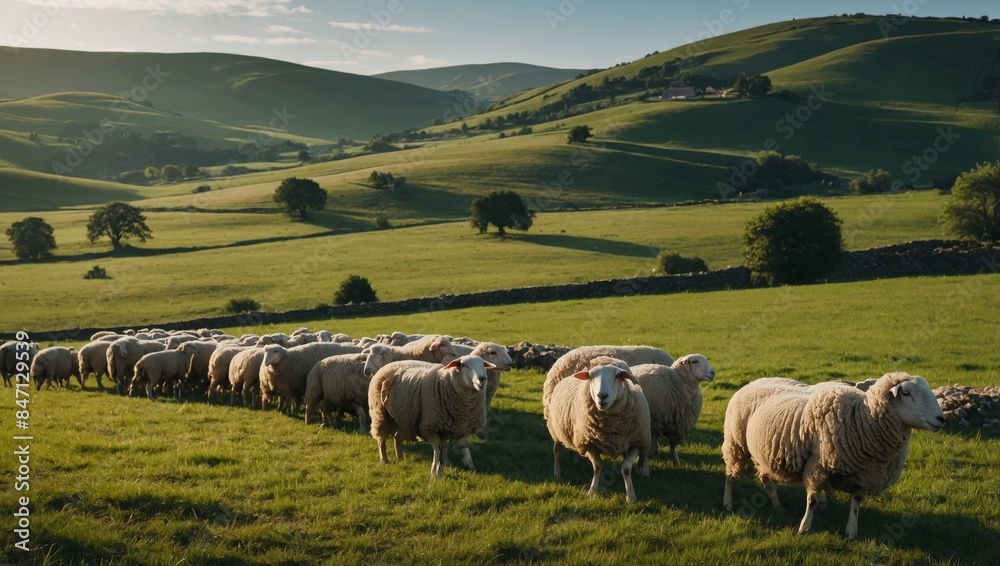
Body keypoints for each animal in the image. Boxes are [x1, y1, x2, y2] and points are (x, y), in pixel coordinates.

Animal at [546, 356, 652, 502]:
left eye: (618, 376)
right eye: (591, 376)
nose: (602, 396)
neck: (612, 427)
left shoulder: (636, 442)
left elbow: (625, 469)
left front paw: (631, 496)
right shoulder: (590, 442)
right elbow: (598, 466)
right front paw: (592, 491)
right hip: (556, 429)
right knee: (557, 450)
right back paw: (557, 473)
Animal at [723, 372, 945, 539]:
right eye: (906, 393)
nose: (941, 419)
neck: (861, 418)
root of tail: (752, 382)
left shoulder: (864, 472)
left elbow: (856, 502)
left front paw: (852, 532)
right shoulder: (818, 466)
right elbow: (812, 499)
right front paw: (804, 528)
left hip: (762, 453)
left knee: (765, 479)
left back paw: (777, 506)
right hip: (736, 443)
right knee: (730, 475)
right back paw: (728, 503)